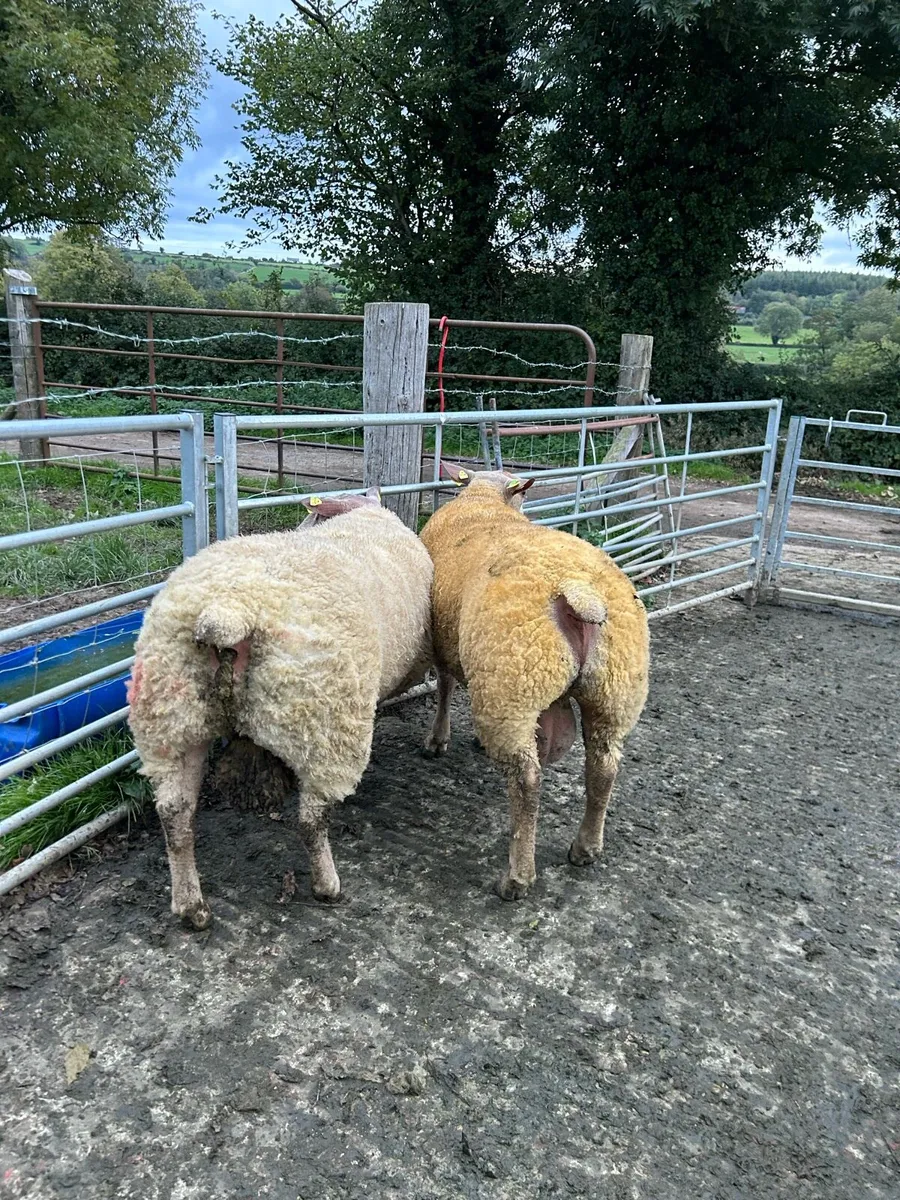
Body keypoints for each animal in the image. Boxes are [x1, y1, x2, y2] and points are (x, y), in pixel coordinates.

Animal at [127, 489, 433, 929]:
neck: (365, 516)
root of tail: (227, 613)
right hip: (324, 728)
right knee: (311, 822)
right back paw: (328, 885)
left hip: (171, 723)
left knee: (174, 815)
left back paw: (191, 906)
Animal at [419, 465, 649, 900]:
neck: (485, 502)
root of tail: (580, 592)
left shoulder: (441, 642)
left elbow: (445, 688)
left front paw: (437, 740)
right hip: (614, 690)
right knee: (603, 767)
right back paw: (586, 847)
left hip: (512, 683)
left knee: (526, 781)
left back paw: (517, 877)